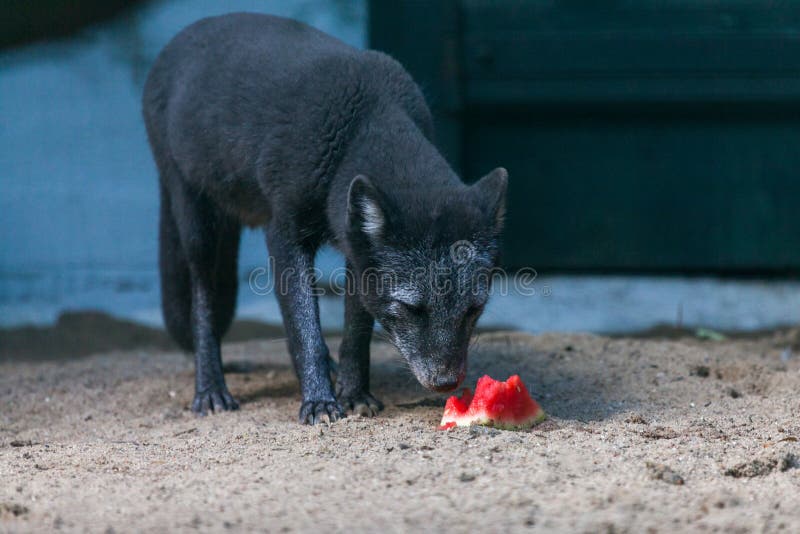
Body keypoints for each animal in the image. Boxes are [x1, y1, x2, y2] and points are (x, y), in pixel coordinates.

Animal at [142, 13, 507, 424]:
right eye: (412, 309)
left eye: (473, 309)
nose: (446, 383)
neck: (360, 123)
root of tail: (178, 41)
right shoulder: (284, 233)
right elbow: (306, 333)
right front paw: (319, 400)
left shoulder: (356, 250)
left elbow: (355, 334)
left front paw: (354, 393)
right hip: (198, 227)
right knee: (203, 305)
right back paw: (210, 388)